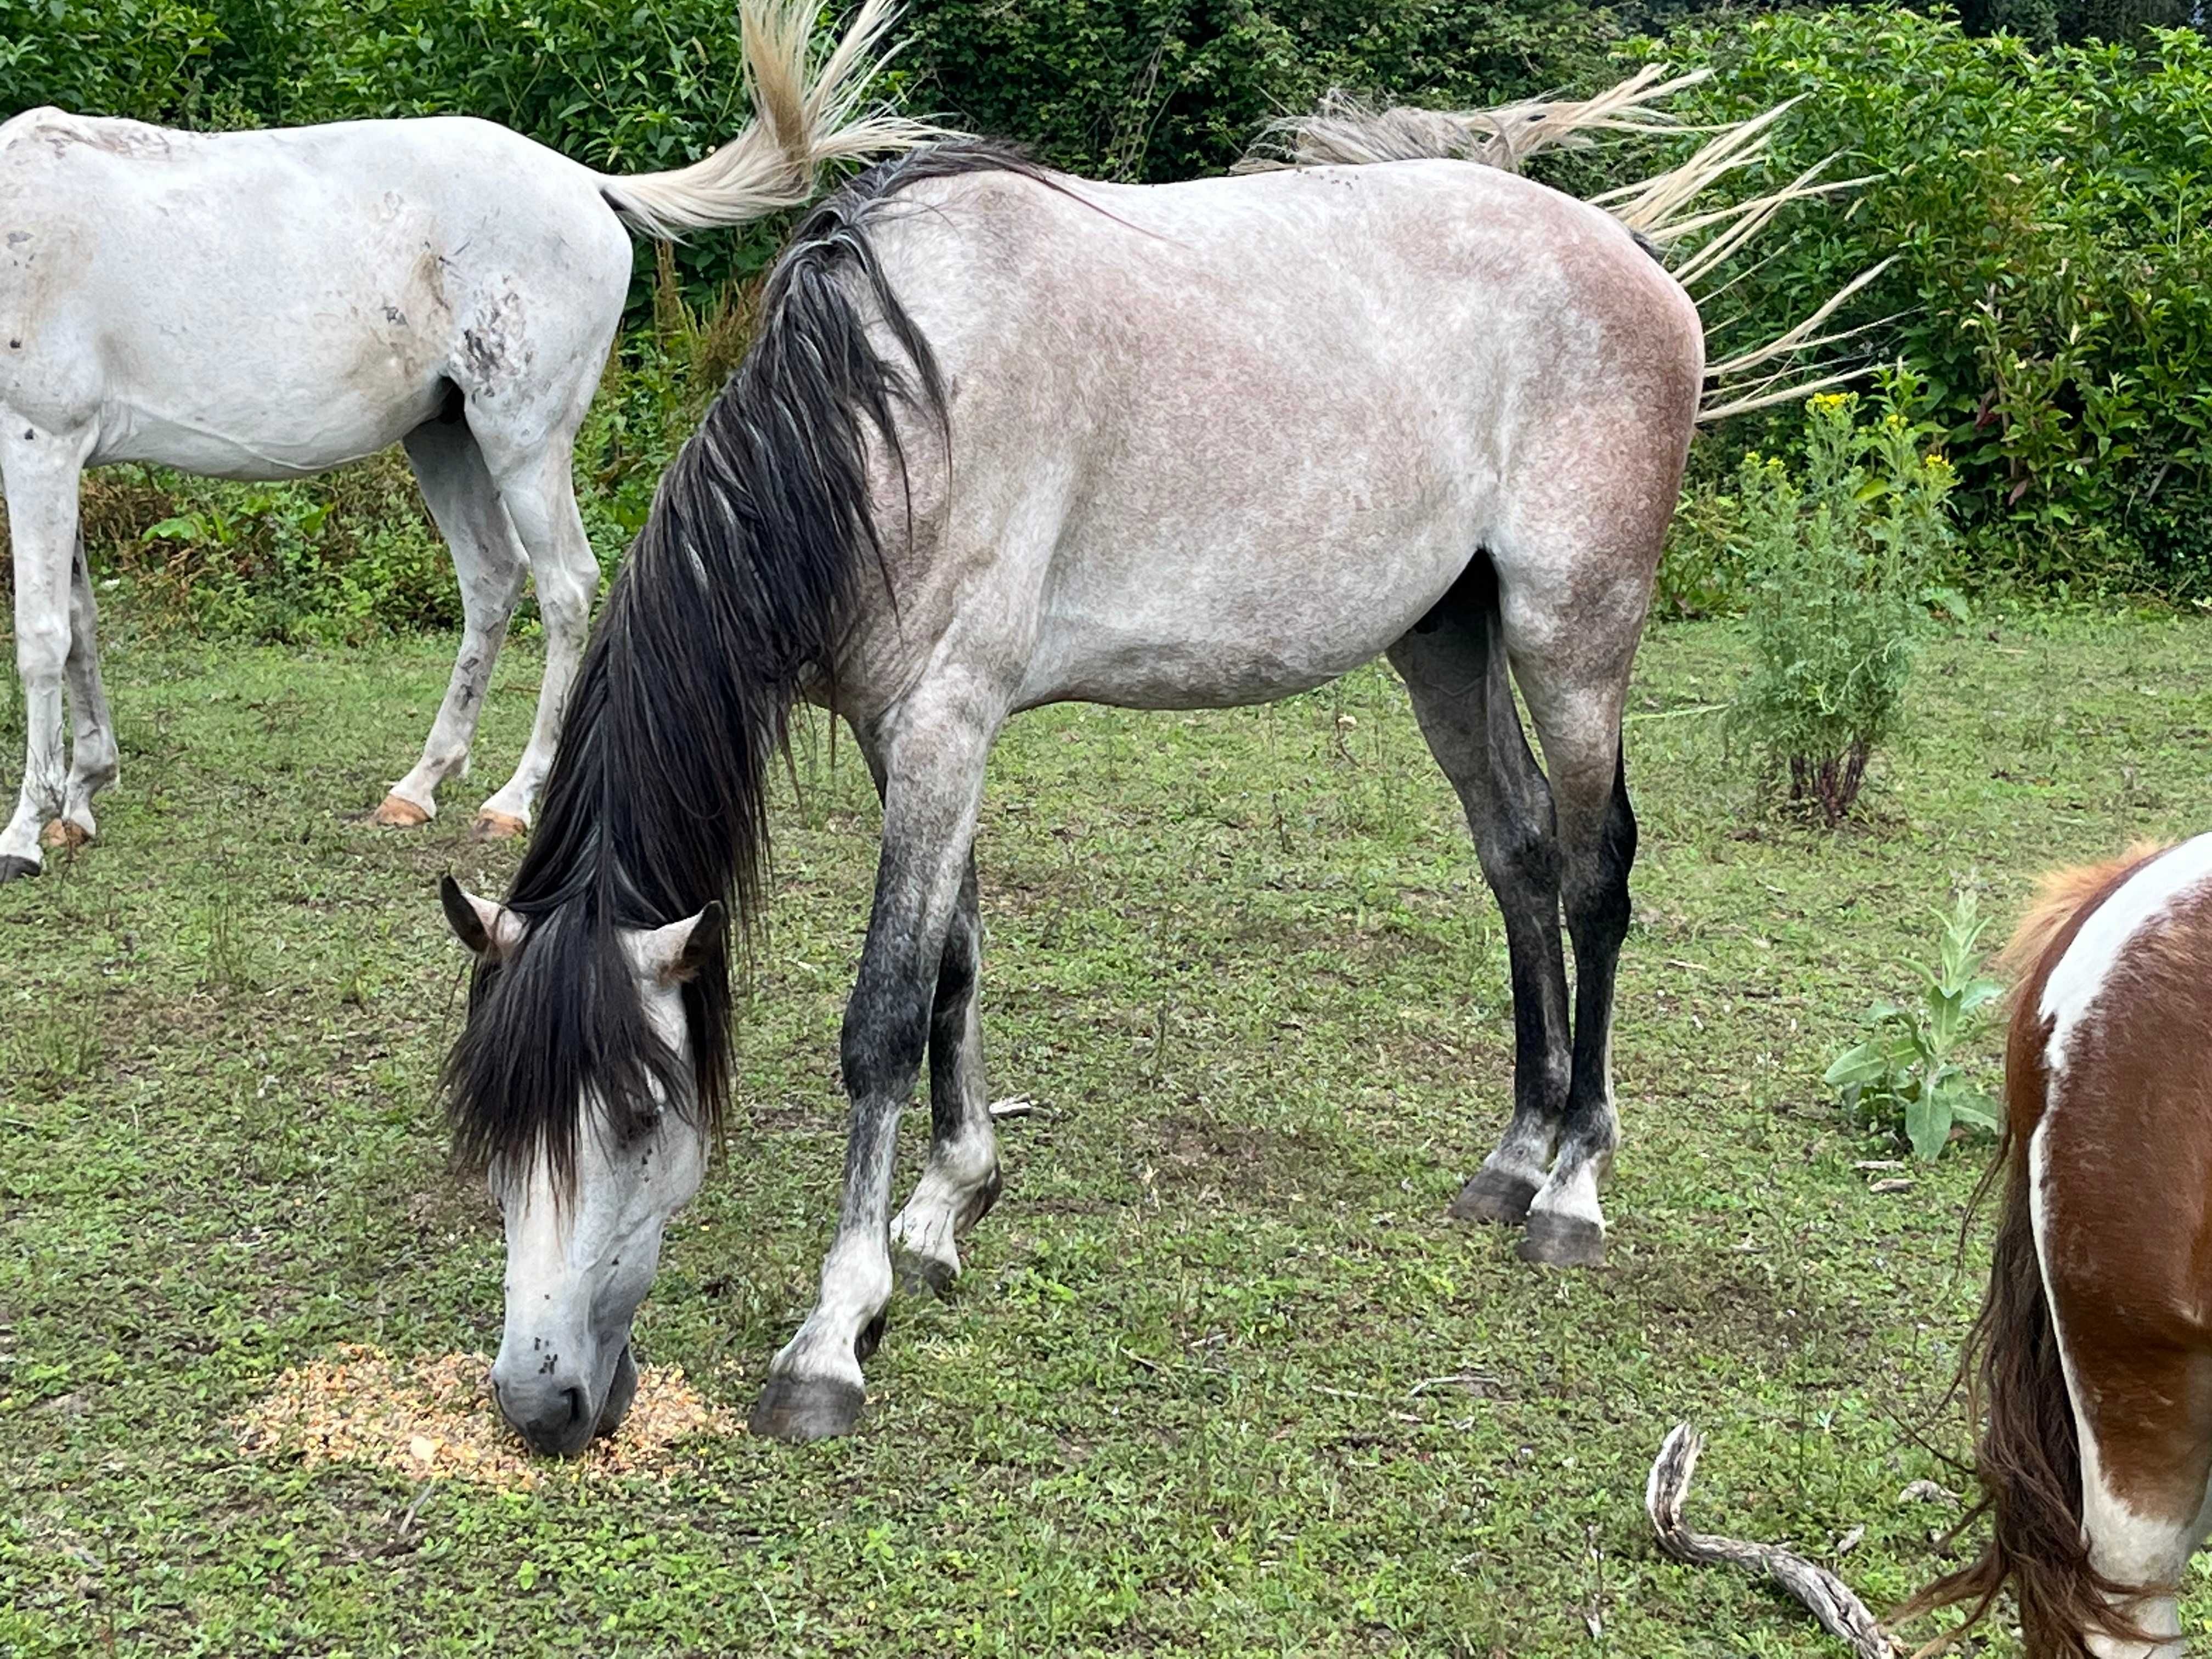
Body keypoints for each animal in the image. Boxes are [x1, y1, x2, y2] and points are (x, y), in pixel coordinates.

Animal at [0, 0, 924, 884]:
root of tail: (588, 185)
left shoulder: (38, 443)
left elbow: (41, 634)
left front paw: (25, 833)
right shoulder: (62, 454)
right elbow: (79, 620)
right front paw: (81, 797)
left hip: (522, 442)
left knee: (564, 586)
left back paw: (513, 799)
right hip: (444, 438)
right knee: (490, 579)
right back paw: (419, 786)